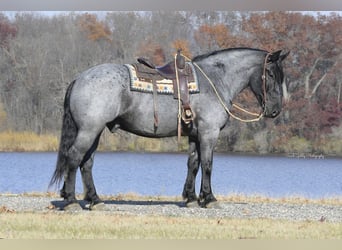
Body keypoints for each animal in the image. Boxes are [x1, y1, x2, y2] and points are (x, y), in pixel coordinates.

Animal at [50, 47, 288, 211]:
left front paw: (191, 198)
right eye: (271, 74)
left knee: (86, 163)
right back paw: (71, 201)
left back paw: (95, 200)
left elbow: (193, 164)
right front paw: (209, 198)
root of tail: (79, 78)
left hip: (95, 131)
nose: (275, 110)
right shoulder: (209, 133)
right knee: (74, 157)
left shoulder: (195, 134)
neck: (215, 81)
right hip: (89, 130)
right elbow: (208, 165)